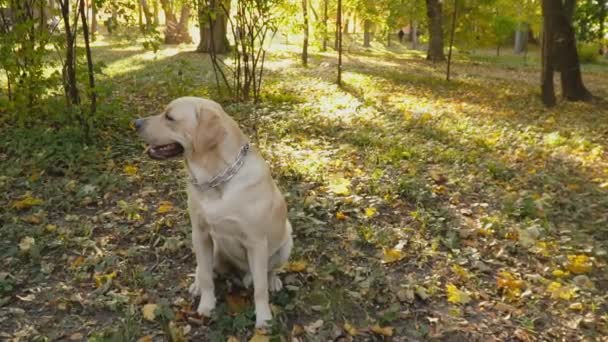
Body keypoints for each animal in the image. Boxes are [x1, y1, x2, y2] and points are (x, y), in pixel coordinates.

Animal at [135, 97, 292, 328]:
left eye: (169, 117)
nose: (135, 123)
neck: (216, 178)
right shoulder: (200, 234)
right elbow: (207, 276)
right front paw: (207, 305)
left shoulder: (257, 243)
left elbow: (260, 288)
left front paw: (264, 318)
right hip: (214, 248)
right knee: (203, 269)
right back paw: (197, 284)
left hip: (286, 240)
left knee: (268, 271)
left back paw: (273, 280)